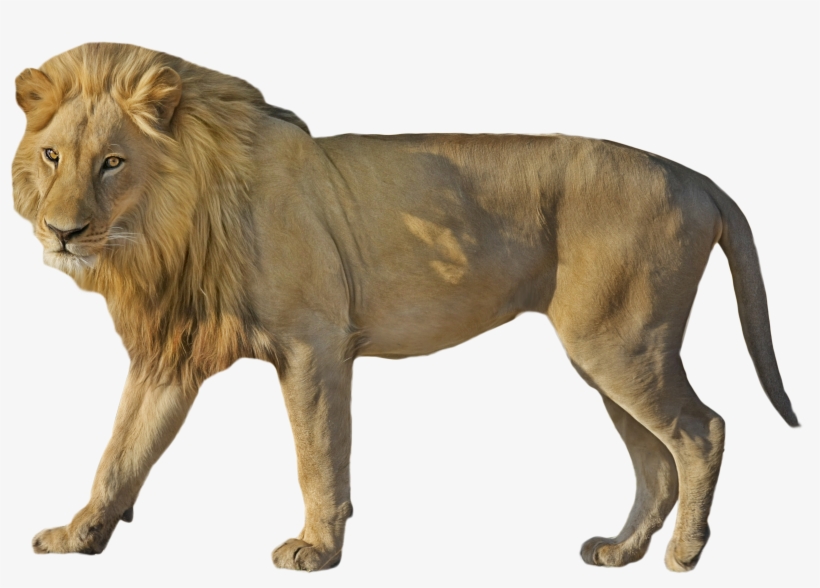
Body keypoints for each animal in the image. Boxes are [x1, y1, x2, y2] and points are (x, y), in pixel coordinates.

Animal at [12, 43, 798, 573]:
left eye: (113, 161)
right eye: (53, 156)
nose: (62, 231)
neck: (167, 229)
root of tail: (694, 175)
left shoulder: (315, 342)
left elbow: (317, 452)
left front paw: (316, 548)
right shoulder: (171, 355)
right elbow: (121, 452)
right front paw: (78, 537)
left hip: (621, 343)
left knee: (702, 430)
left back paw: (686, 554)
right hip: (607, 354)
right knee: (656, 460)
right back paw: (621, 550)